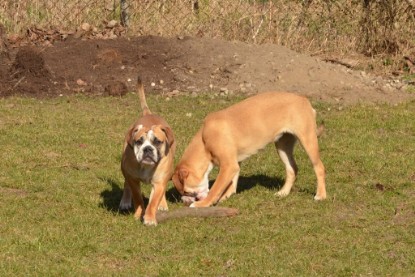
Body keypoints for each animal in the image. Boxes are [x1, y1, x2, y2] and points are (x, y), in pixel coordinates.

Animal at [118, 77, 176, 224]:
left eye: (157, 141)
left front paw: (149, 217)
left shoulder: (160, 182)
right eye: (139, 141)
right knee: (126, 183)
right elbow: (138, 198)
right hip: (124, 166)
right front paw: (139, 213)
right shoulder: (133, 179)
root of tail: (148, 113)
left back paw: (162, 204)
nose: (148, 149)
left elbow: (154, 200)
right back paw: (125, 201)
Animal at [173, 91, 328, 206]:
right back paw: (283, 192)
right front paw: (225, 197)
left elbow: (215, 188)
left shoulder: (228, 165)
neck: (204, 141)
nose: (184, 201)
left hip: (308, 140)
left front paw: (203, 204)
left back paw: (320, 195)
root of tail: (303, 99)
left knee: (319, 167)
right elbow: (231, 183)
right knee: (292, 169)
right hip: (283, 146)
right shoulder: (234, 164)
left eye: (186, 192)